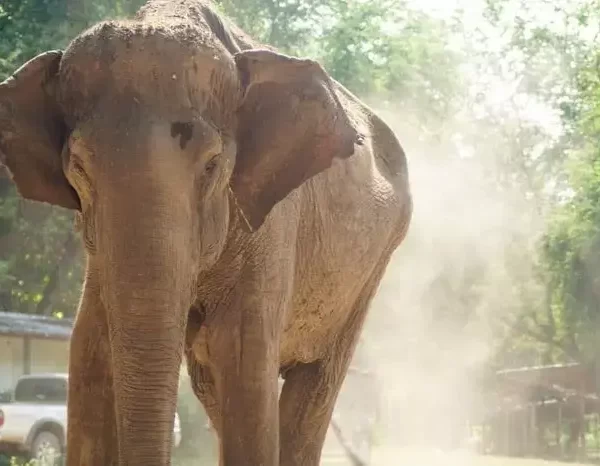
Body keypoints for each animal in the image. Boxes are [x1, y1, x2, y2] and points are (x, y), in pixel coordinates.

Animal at [0, 0, 412, 466]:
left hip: (372, 269)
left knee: (314, 387)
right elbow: (90, 354)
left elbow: (244, 361)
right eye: (79, 170)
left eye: (213, 165)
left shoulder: (272, 230)